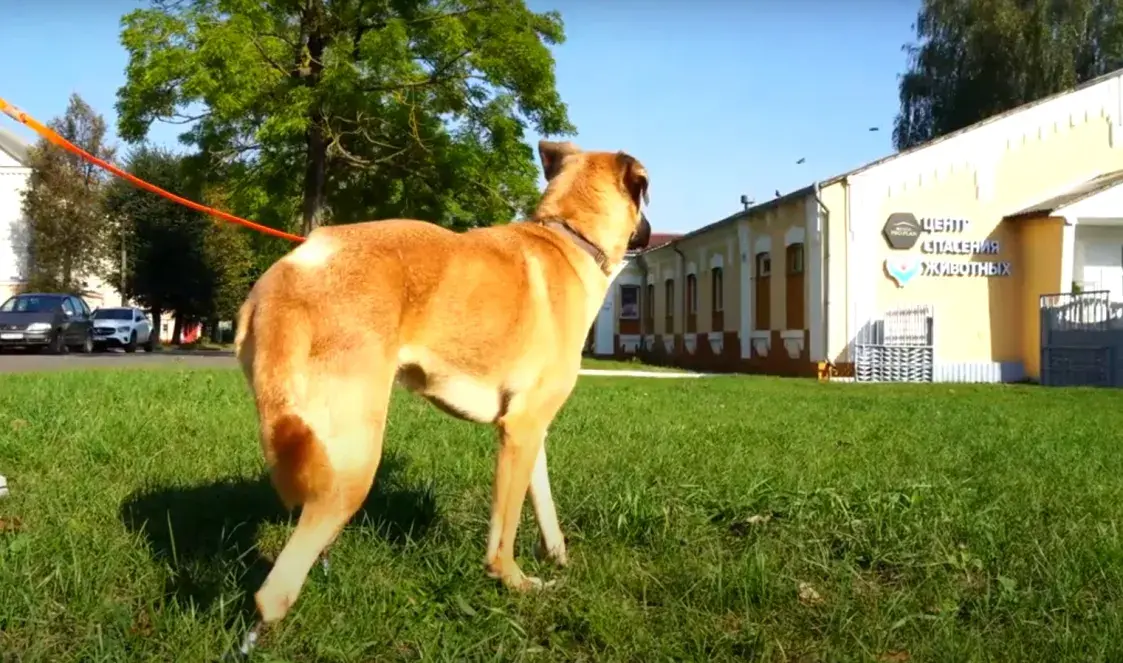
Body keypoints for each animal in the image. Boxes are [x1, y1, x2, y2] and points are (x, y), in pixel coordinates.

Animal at [233, 138, 655, 638]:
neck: (570, 237)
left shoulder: (529, 430)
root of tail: (291, 273)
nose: (650, 233)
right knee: (274, 591)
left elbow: (543, 501)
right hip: (355, 459)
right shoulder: (521, 429)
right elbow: (504, 530)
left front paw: (557, 557)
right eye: (646, 195)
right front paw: (514, 582)